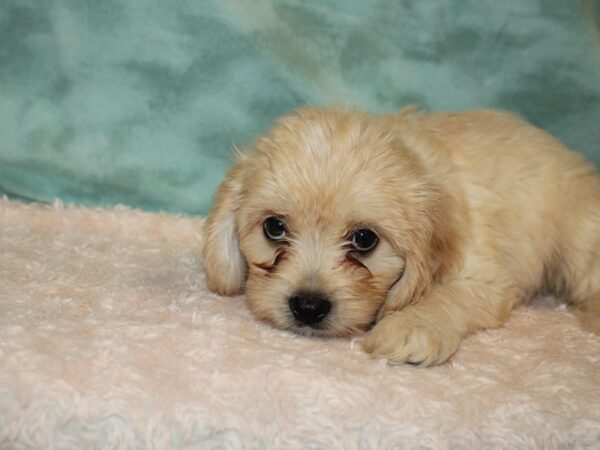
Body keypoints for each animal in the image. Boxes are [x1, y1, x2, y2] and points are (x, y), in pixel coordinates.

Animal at [203, 108, 600, 366]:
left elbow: (447, 296)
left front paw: (410, 327)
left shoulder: (484, 276)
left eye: (365, 239)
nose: (308, 307)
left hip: (577, 233)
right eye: (274, 227)